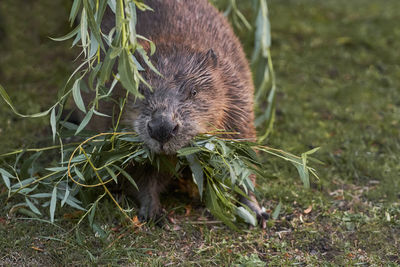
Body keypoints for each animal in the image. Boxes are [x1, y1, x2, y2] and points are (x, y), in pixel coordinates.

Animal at [88, 0, 268, 224]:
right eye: (140, 90)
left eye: (193, 91)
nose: (162, 128)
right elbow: (139, 173)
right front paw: (153, 211)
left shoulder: (237, 100)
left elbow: (244, 157)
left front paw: (255, 209)